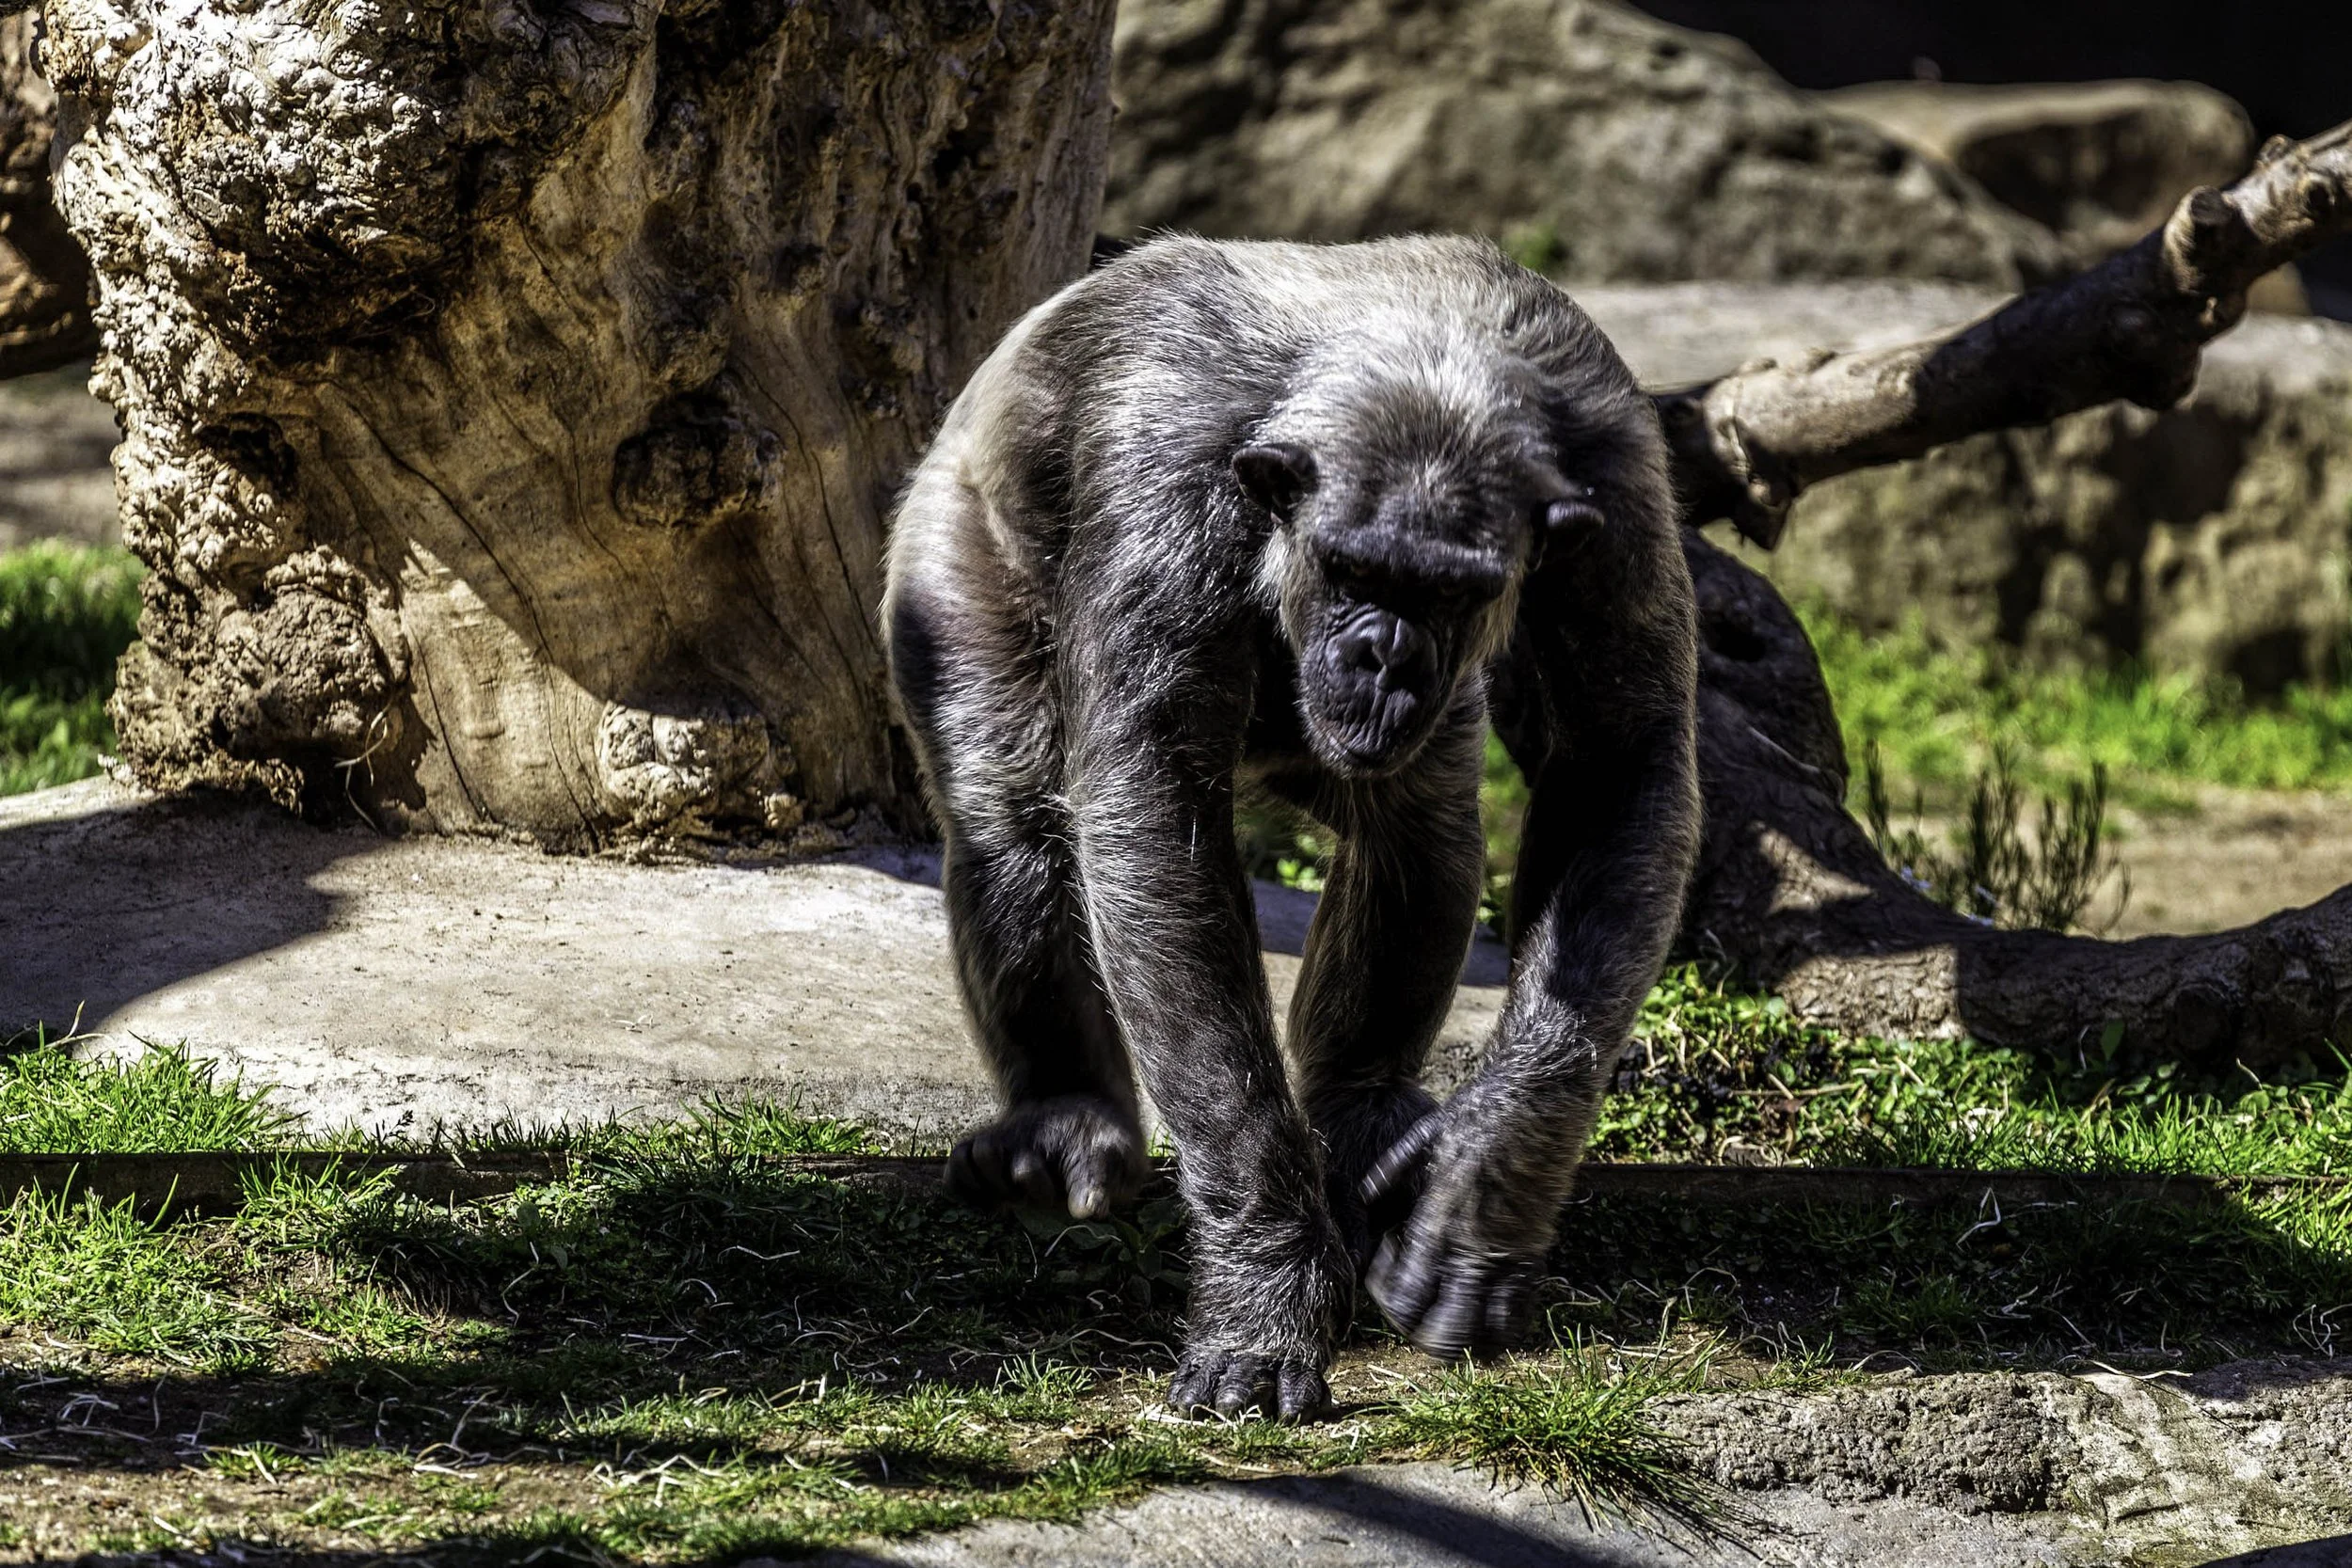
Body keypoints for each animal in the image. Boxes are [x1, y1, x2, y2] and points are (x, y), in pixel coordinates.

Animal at [882, 235, 1700, 1421]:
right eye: (1355, 567)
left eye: (1450, 590)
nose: (1385, 654)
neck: (1420, 340)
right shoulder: (1163, 484)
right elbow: (1148, 812)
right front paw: (1266, 1286)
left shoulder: (1618, 475)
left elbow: (1616, 766)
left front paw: (1482, 1192)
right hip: (953, 536)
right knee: (1009, 810)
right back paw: (1060, 1122)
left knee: (1419, 826)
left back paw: (1364, 1116)